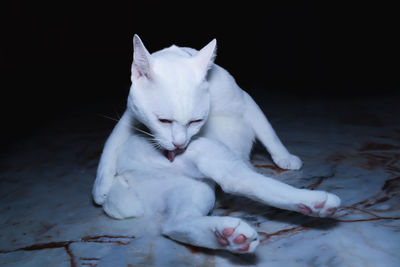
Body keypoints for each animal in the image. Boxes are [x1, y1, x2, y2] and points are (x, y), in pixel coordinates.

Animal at [92, 35, 340, 253]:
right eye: (163, 121)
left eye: (195, 121)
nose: (179, 144)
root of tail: (127, 183)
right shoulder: (130, 115)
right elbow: (112, 141)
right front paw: (99, 188)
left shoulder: (246, 102)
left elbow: (269, 132)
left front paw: (284, 156)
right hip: (208, 156)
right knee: (238, 182)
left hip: (198, 186)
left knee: (177, 223)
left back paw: (228, 236)